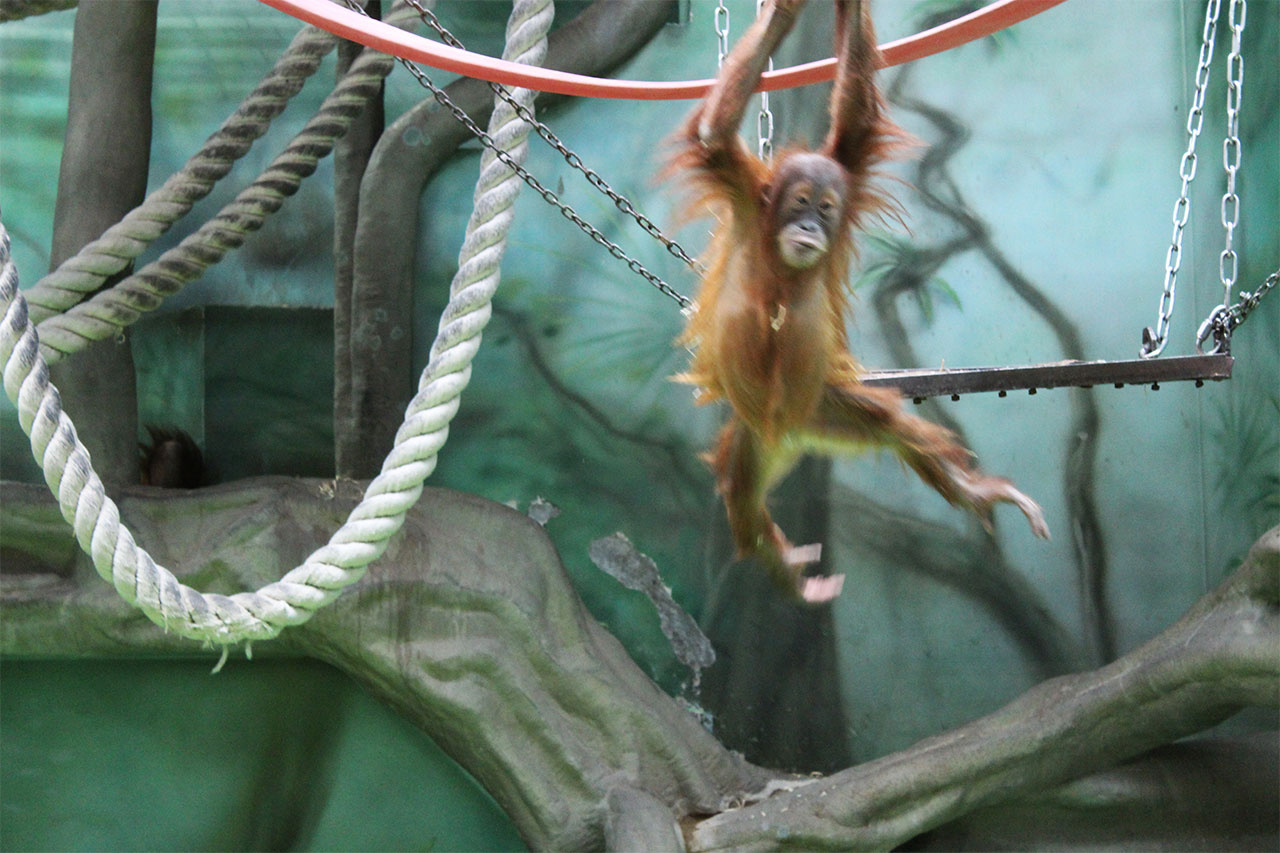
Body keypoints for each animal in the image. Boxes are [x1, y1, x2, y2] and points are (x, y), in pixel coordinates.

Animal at [671, 0, 1049, 603]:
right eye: (800, 202)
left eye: (827, 209)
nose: (809, 226)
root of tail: (788, 434)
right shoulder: (742, 189)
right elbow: (713, 134)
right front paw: (781, 18)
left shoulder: (851, 169)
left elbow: (855, 115)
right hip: (757, 432)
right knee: (740, 487)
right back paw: (781, 563)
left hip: (824, 411)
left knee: (890, 426)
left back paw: (976, 494)